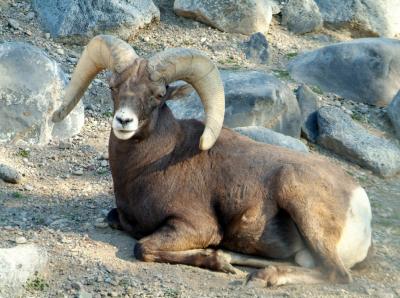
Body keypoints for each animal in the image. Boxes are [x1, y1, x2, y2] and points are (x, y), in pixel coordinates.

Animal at [52, 35, 372, 286]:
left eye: (158, 95)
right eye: (113, 87)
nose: (124, 121)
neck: (150, 164)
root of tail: (360, 203)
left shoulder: (195, 226)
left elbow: (142, 248)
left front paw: (214, 261)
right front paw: (218, 258)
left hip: (298, 198)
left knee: (335, 274)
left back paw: (262, 277)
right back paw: (232, 258)